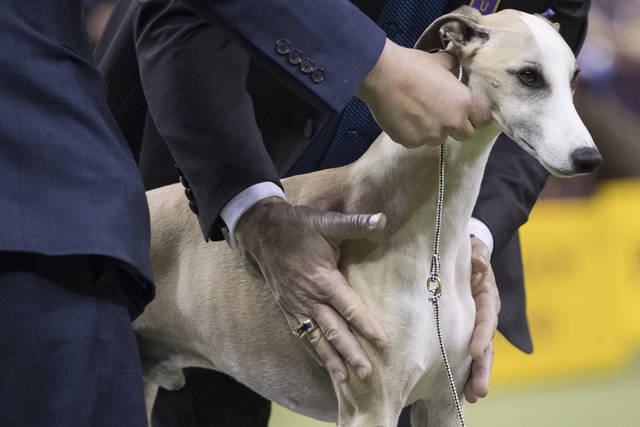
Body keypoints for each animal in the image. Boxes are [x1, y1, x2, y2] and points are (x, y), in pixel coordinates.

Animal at [139, 7, 600, 427]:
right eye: (529, 75)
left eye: (574, 78)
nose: (589, 158)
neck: (433, 239)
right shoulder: (371, 406)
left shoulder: (443, 400)